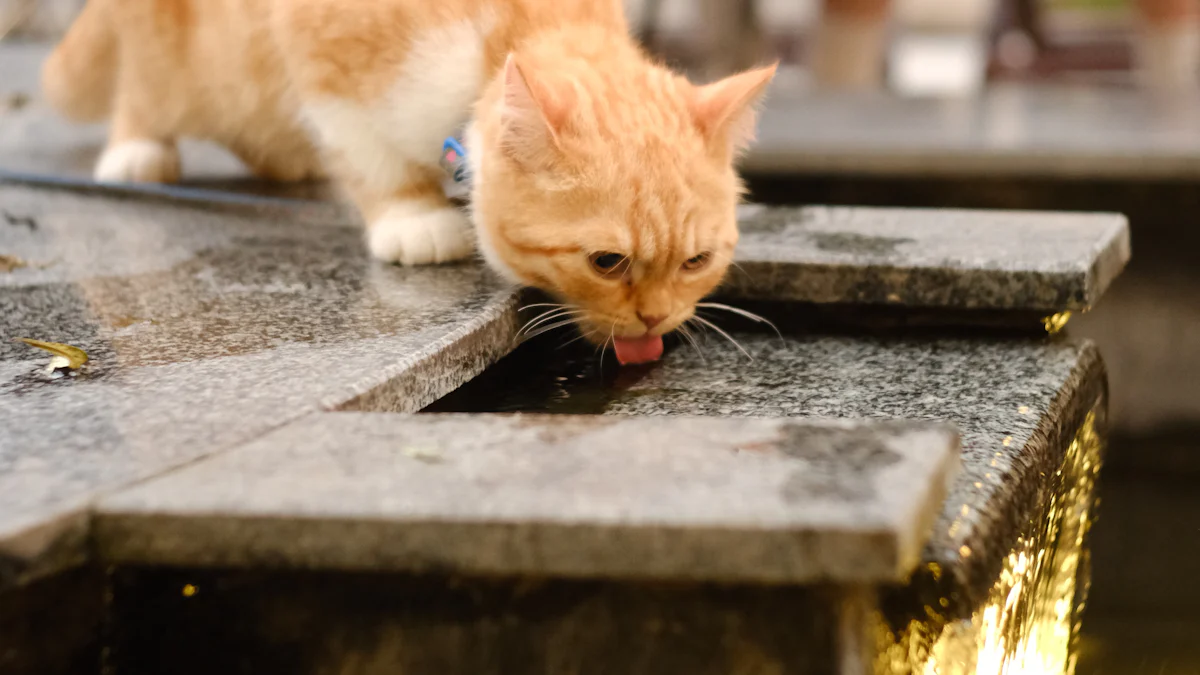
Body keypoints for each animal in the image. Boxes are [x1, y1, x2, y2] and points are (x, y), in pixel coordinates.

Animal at [42, 0, 772, 362]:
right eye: (607, 261)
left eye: (696, 261)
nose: (656, 318)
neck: (494, 34)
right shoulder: (323, 56)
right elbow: (370, 154)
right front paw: (412, 215)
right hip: (186, 61)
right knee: (147, 88)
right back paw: (137, 149)